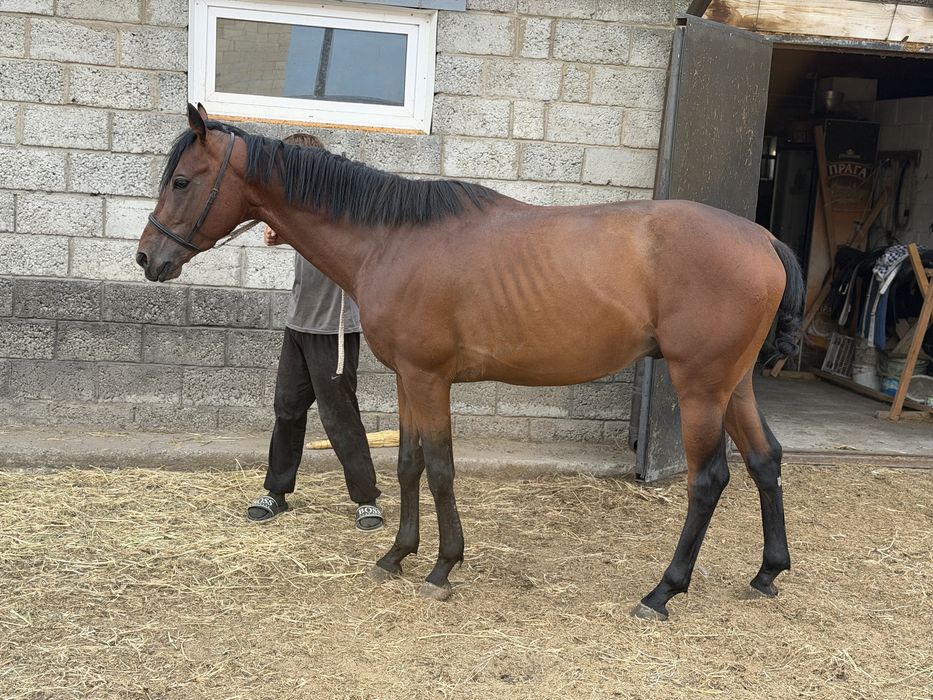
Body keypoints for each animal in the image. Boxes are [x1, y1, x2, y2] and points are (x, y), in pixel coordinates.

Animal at [136, 104, 804, 621]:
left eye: (182, 181)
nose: (147, 258)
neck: (393, 237)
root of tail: (763, 239)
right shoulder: (408, 380)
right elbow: (407, 465)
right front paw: (397, 556)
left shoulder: (430, 380)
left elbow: (440, 469)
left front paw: (442, 566)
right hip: (733, 385)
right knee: (765, 460)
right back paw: (767, 573)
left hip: (700, 389)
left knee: (709, 480)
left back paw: (663, 591)